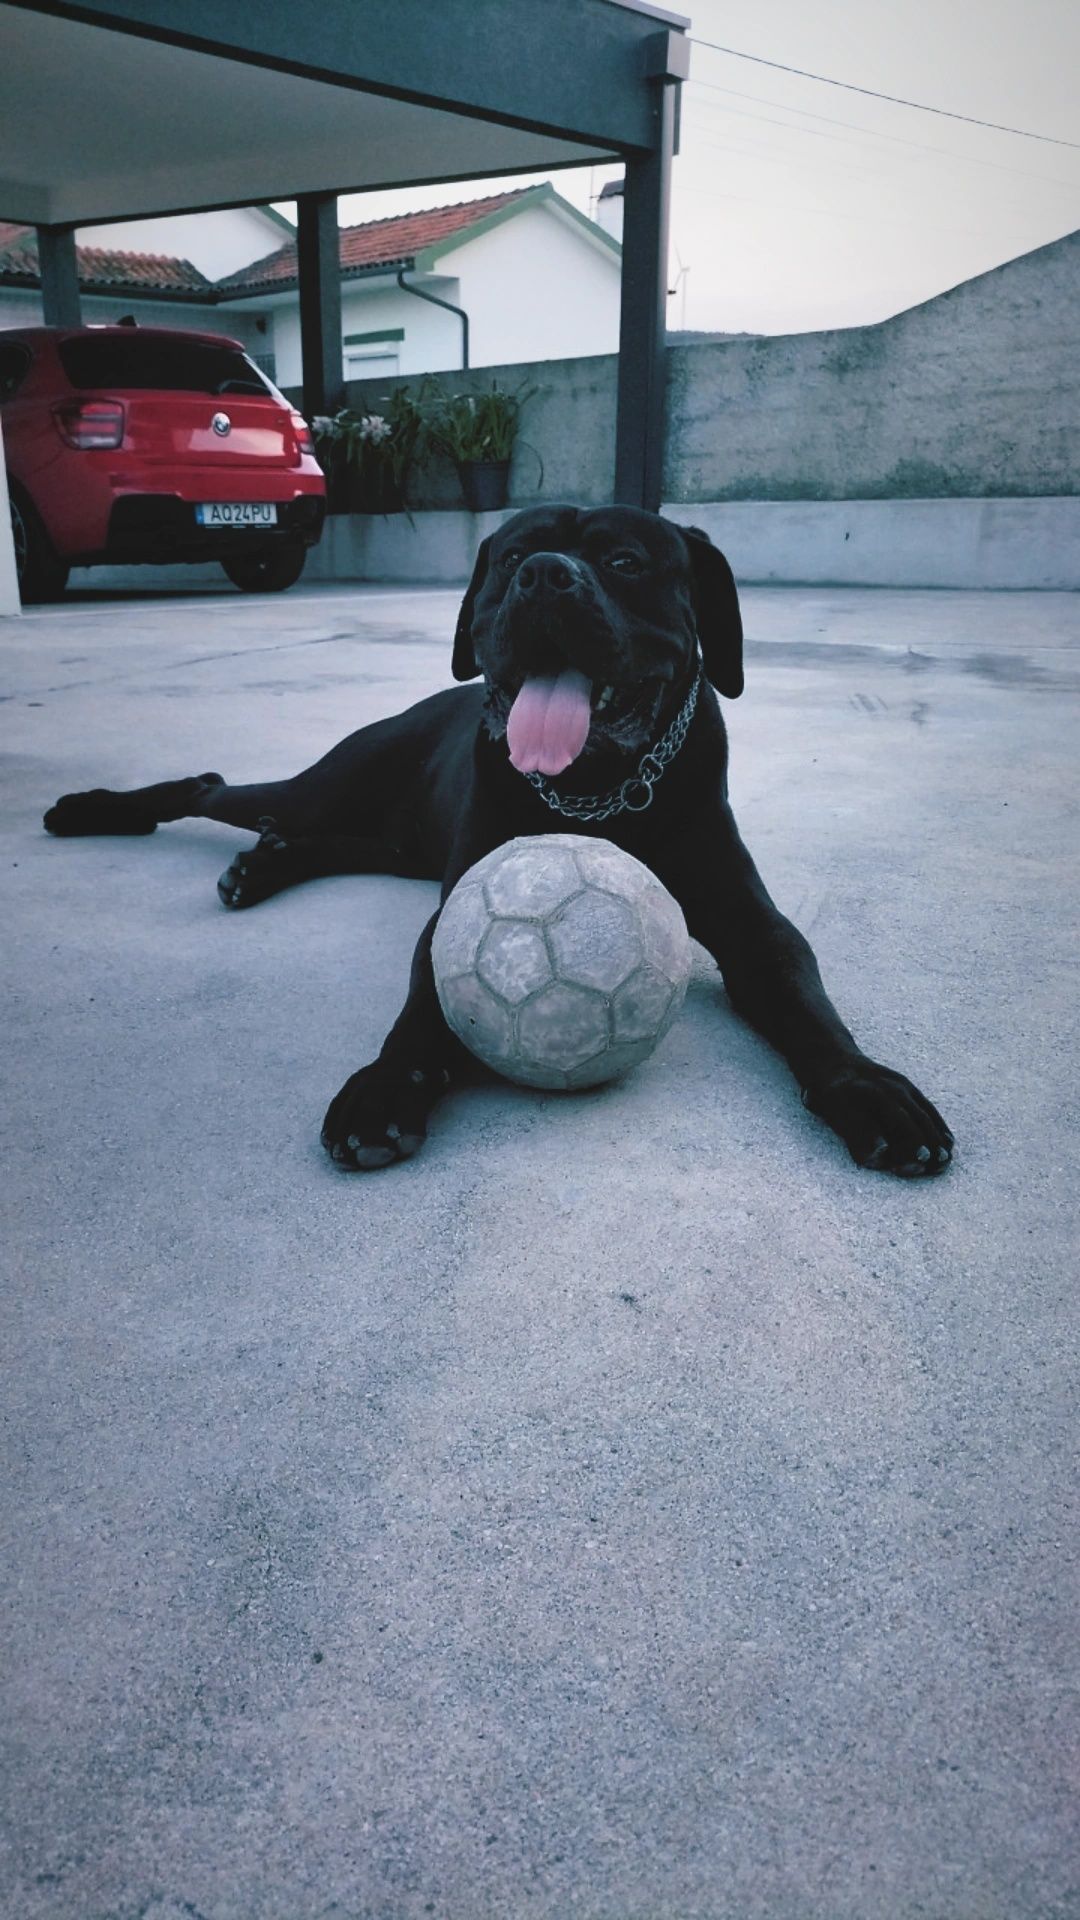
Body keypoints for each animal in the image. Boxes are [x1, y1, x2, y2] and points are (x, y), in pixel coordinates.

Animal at [42, 503, 949, 1175]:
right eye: (512, 557)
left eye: (625, 561)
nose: (545, 574)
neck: (597, 797)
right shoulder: (455, 908)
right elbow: (424, 1005)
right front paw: (387, 1087)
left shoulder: (755, 925)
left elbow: (805, 1001)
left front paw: (869, 1087)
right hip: (332, 787)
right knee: (212, 787)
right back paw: (93, 810)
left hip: (390, 837)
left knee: (320, 837)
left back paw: (257, 868)